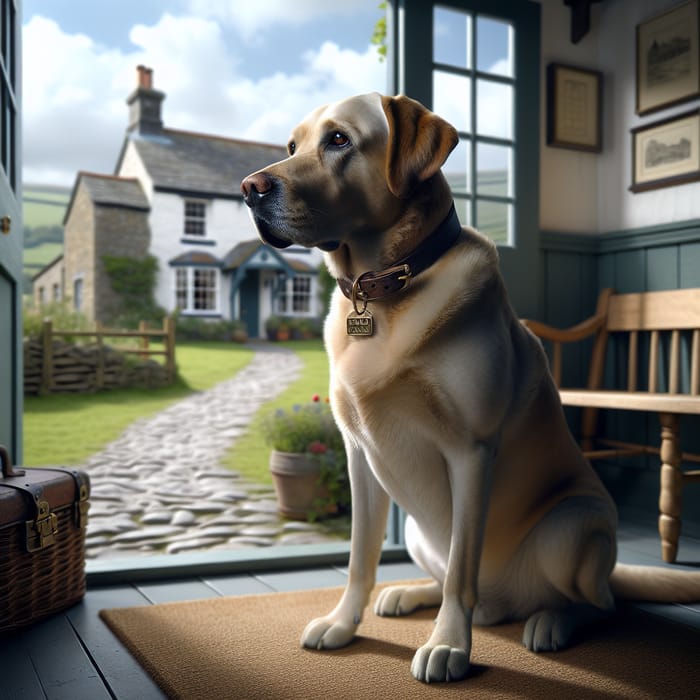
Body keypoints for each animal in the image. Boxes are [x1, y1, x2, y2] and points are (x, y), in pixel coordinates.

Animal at [241, 93, 700, 684]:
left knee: (599, 604)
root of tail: (505, 603)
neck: (387, 287)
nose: (250, 187)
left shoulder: (471, 453)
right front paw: (343, 624)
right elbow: (360, 557)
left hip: (570, 527)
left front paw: (448, 645)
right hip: (418, 530)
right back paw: (412, 593)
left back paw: (551, 621)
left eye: (339, 140)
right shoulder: (359, 458)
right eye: (292, 146)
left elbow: (463, 568)